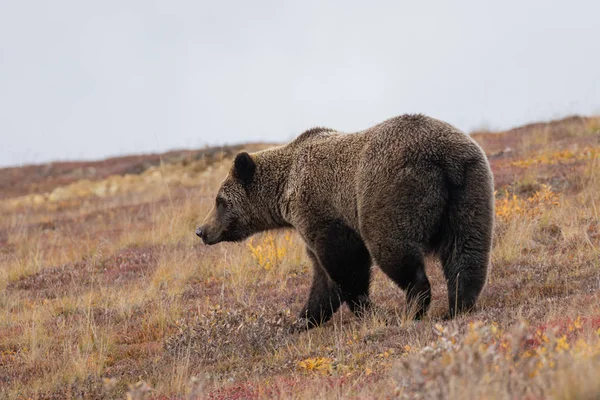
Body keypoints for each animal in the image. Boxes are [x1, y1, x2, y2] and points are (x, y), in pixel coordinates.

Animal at [198, 114, 496, 330]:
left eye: (220, 201)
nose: (202, 230)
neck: (285, 189)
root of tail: (443, 159)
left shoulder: (322, 211)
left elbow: (345, 264)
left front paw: (370, 311)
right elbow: (323, 278)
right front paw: (302, 320)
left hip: (389, 191)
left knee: (393, 249)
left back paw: (413, 308)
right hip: (470, 189)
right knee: (466, 251)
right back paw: (458, 306)